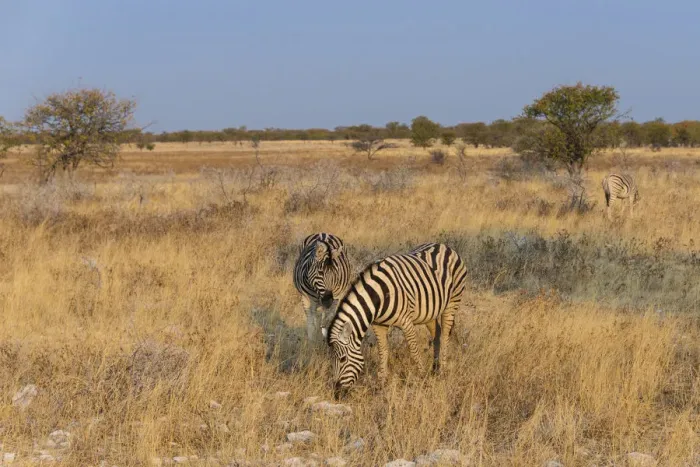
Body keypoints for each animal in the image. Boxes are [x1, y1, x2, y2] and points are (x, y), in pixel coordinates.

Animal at [325, 243, 467, 396]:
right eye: (331, 360)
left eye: (342, 359)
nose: (337, 394)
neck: (379, 295)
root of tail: (443, 245)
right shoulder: (378, 325)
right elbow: (383, 351)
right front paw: (381, 383)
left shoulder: (406, 322)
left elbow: (414, 351)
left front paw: (422, 378)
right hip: (430, 312)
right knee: (437, 334)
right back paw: (435, 367)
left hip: (452, 302)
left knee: (445, 335)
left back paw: (442, 370)